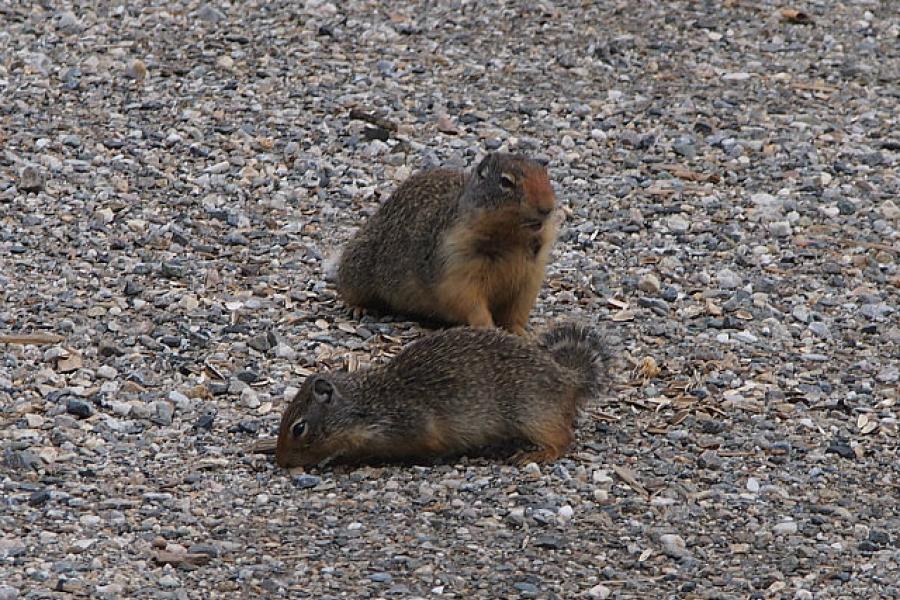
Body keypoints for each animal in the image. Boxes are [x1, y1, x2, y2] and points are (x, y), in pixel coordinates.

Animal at [274, 324, 612, 468]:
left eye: (298, 429)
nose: (281, 462)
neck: (366, 405)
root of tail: (565, 376)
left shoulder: (411, 428)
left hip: (533, 414)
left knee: (563, 439)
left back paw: (538, 454)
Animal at [340, 152, 564, 336]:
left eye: (546, 177)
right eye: (506, 182)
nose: (547, 207)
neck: (512, 239)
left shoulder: (530, 276)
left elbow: (517, 311)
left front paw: (522, 333)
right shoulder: (457, 262)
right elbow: (468, 300)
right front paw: (487, 326)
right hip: (359, 263)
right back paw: (358, 308)